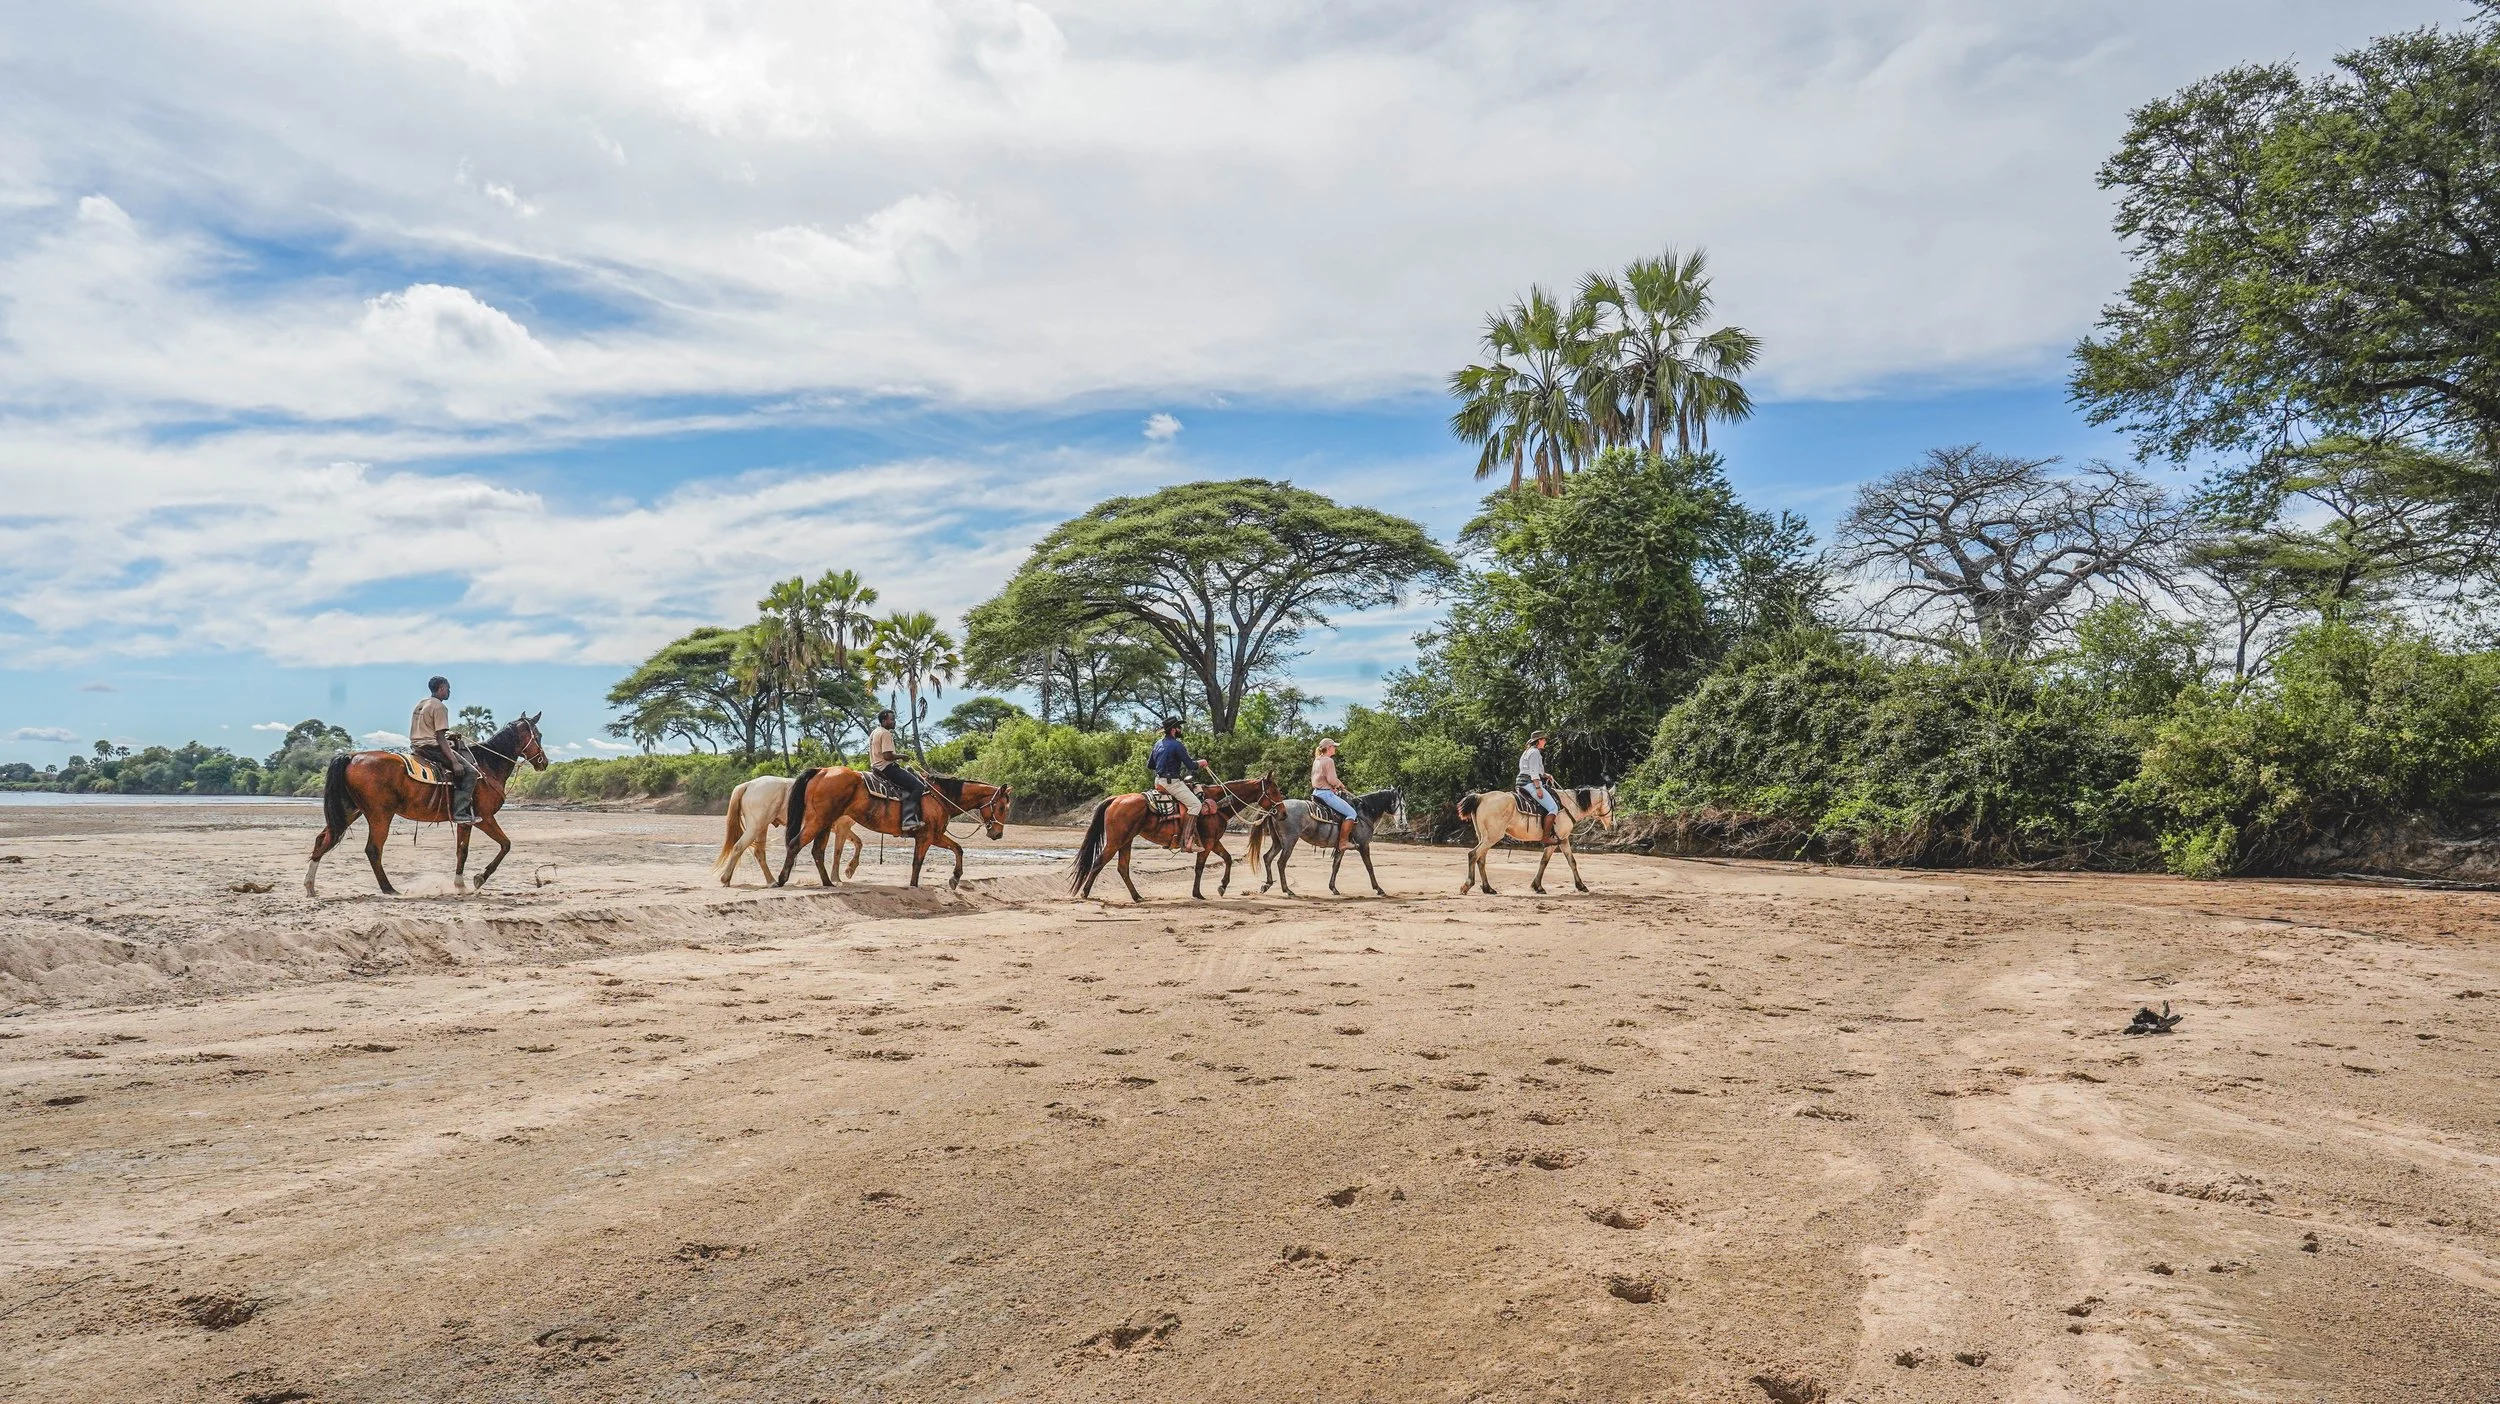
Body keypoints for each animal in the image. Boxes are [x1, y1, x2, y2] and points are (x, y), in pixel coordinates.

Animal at [305, 714, 550, 896]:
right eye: (538, 735)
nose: (544, 762)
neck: (487, 764)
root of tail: (353, 756)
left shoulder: (466, 821)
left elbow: (462, 851)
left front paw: (460, 885)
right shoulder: (485, 818)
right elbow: (506, 845)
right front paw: (480, 878)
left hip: (350, 811)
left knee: (323, 839)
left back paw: (310, 886)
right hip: (380, 814)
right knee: (373, 849)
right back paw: (389, 889)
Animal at [775, 767, 1011, 890]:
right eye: (1001, 807)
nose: (997, 834)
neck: (940, 796)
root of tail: (822, 771)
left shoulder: (935, 836)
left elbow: (958, 849)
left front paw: (955, 878)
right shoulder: (927, 837)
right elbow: (918, 862)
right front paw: (915, 886)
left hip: (824, 823)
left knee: (817, 851)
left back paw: (827, 882)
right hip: (817, 821)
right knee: (795, 844)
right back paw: (781, 880)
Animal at [1067, 773, 1286, 902]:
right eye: (1275, 790)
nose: (1283, 813)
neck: (1219, 802)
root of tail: (1115, 799)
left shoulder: (1214, 841)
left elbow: (1228, 858)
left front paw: (1222, 886)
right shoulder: (1207, 843)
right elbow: (1200, 868)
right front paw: (1198, 893)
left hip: (1126, 842)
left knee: (1122, 868)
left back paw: (1137, 896)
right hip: (1115, 842)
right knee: (1098, 862)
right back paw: (1086, 893)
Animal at [1248, 787, 1404, 897]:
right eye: (1402, 804)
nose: (1403, 824)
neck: (1363, 813)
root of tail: (1274, 808)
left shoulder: (1341, 847)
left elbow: (1336, 866)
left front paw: (1333, 888)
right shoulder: (1364, 845)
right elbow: (1369, 866)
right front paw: (1379, 889)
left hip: (1278, 842)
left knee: (1267, 857)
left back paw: (1267, 885)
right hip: (1289, 841)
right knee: (1281, 863)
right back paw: (1287, 890)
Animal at [1457, 784, 1615, 895]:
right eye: (1613, 803)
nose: (1613, 825)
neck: (1569, 805)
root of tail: (1481, 797)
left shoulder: (1563, 839)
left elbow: (1571, 861)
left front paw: (1580, 885)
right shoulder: (1555, 841)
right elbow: (1545, 862)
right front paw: (1538, 886)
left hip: (1484, 837)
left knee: (1481, 859)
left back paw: (1488, 888)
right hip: (1492, 837)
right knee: (1473, 854)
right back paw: (1467, 885)